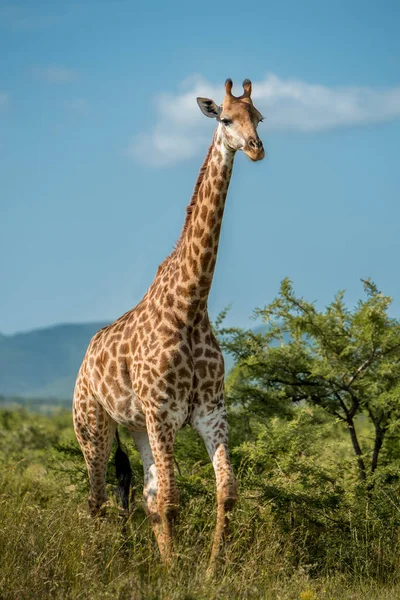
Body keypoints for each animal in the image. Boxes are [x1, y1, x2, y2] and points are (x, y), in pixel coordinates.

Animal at [72, 76, 266, 568]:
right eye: (225, 119)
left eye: (259, 117)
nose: (256, 148)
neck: (191, 305)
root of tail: (85, 361)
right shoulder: (162, 412)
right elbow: (174, 500)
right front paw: (178, 573)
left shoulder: (210, 411)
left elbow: (225, 492)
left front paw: (209, 571)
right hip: (92, 426)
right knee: (96, 499)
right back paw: (97, 564)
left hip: (137, 428)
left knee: (144, 494)